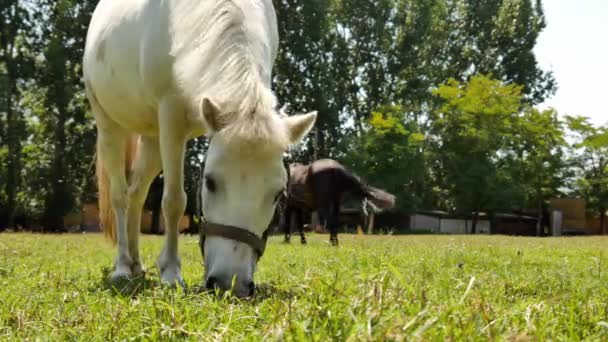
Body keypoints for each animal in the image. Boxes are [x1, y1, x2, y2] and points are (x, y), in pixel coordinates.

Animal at [82, 0, 316, 296]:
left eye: (277, 195)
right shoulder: (171, 116)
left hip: (153, 139)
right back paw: (123, 266)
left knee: (136, 194)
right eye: (210, 182)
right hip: (110, 126)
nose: (230, 283)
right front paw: (171, 272)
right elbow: (173, 201)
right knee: (120, 196)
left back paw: (136, 264)